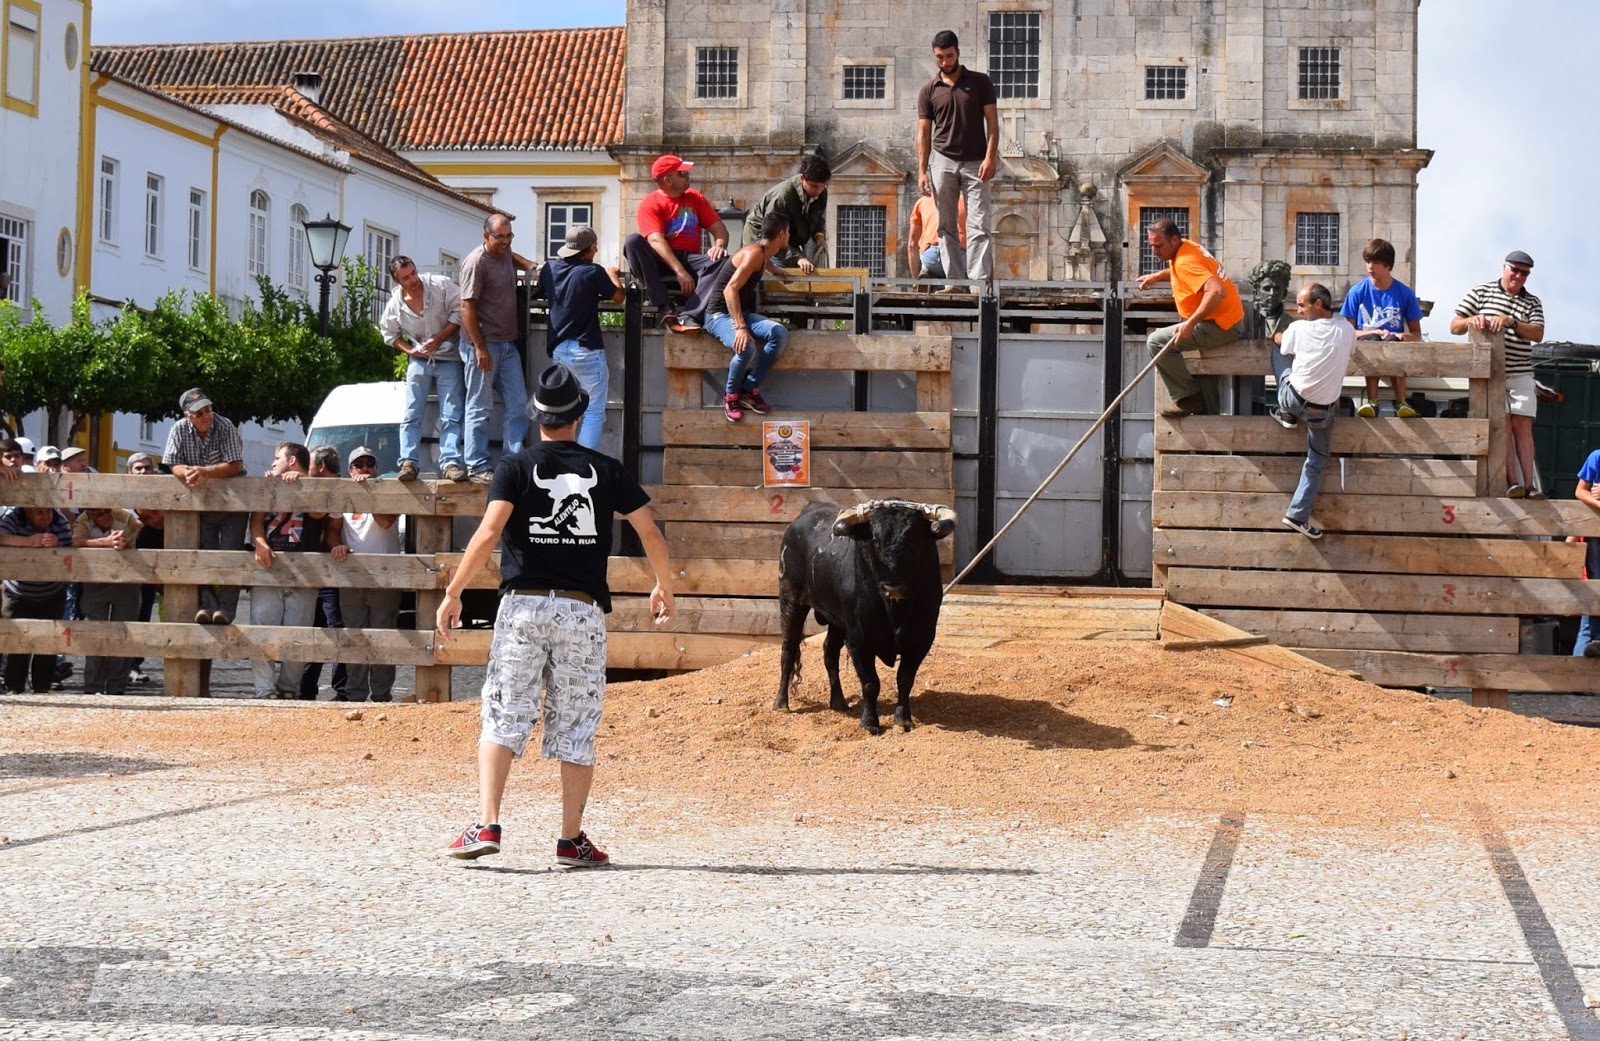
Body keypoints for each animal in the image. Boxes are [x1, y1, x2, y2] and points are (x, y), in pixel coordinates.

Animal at [774, 498, 957, 734]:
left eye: (912, 540)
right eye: (875, 541)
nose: (892, 587)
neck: (895, 612)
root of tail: (809, 509)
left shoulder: (921, 640)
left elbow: (905, 679)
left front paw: (903, 720)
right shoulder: (859, 641)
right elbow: (870, 683)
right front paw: (870, 723)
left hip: (836, 620)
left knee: (829, 652)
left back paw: (839, 702)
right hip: (790, 599)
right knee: (788, 649)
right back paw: (781, 703)